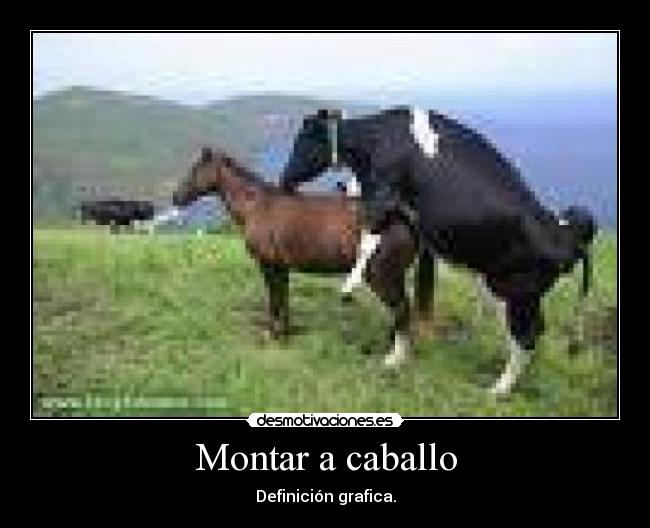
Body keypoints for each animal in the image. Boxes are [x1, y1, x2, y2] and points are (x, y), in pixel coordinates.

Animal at [173, 147, 435, 355]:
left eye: (196, 169)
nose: (176, 197)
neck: (258, 205)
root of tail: (402, 217)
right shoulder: (281, 267)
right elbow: (283, 299)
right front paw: (285, 335)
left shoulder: (269, 265)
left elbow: (274, 300)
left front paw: (272, 335)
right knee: (401, 310)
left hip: (381, 276)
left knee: (401, 309)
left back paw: (394, 356)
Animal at [279, 107, 598, 395]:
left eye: (301, 141)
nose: (284, 179)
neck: (377, 139)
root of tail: (566, 234)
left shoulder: (382, 192)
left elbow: (368, 238)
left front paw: (350, 283)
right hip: (522, 296)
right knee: (534, 332)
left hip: (513, 293)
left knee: (525, 337)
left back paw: (500, 388)